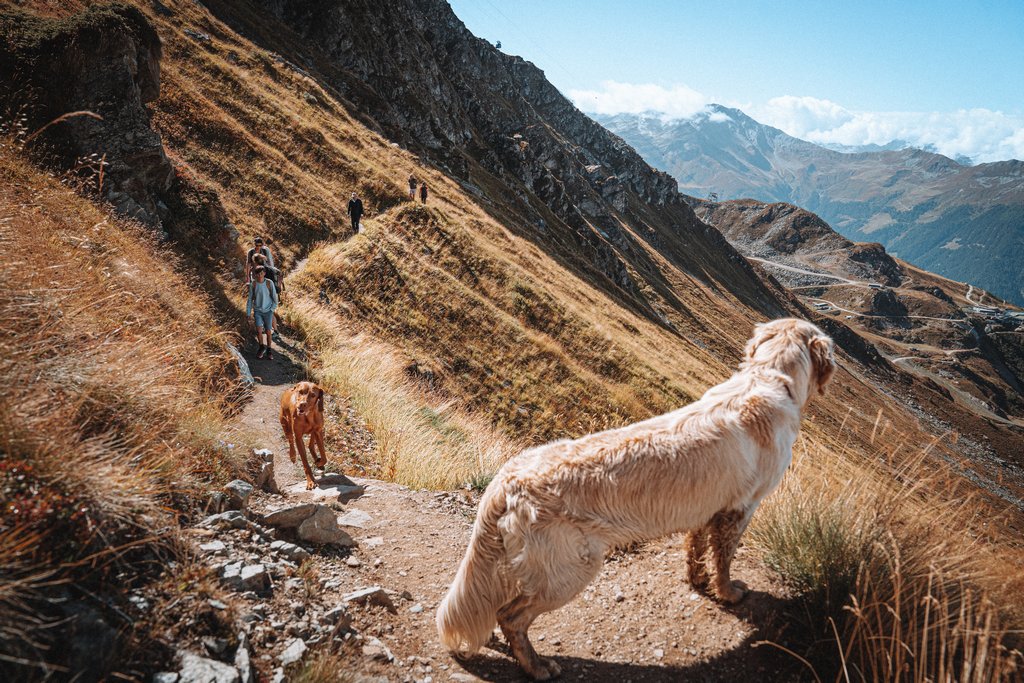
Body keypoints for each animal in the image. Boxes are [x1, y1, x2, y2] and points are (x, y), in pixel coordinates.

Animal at [436, 317, 835, 679]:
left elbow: (696, 549)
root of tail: (508, 479)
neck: (771, 377)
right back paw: (537, 666)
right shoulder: (741, 508)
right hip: (568, 570)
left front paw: (698, 582)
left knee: (492, 603)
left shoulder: (709, 509)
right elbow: (724, 558)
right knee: (511, 616)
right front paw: (729, 592)